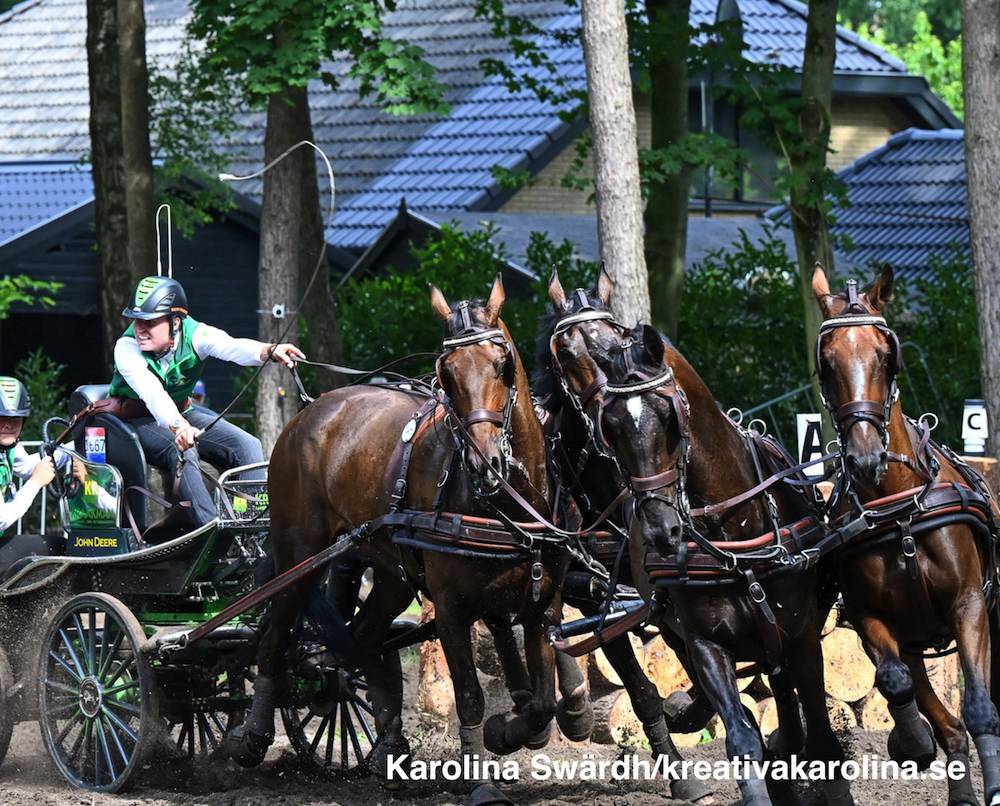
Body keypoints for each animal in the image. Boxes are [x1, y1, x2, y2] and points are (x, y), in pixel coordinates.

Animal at [229, 274, 572, 800]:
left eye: (503, 365)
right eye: (446, 375)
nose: (486, 464)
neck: (504, 504)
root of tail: (311, 411)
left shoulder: (542, 605)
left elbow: (541, 704)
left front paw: (507, 733)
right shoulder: (451, 608)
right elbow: (469, 697)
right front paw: (477, 779)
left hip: (392, 573)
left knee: (363, 640)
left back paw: (385, 745)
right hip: (297, 555)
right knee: (275, 637)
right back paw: (253, 735)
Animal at [564, 320, 852, 806]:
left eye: (668, 418)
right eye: (611, 427)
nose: (660, 529)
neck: (734, 535)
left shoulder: (802, 637)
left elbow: (820, 736)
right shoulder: (705, 643)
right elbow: (741, 737)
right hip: (673, 625)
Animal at [812, 266, 1000, 806]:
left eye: (884, 354)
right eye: (827, 361)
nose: (865, 458)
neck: (899, 512)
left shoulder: (969, 605)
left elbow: (980, 709)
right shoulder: (873, 619)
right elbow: (895, 682)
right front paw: (911, 743)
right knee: (934, 707)